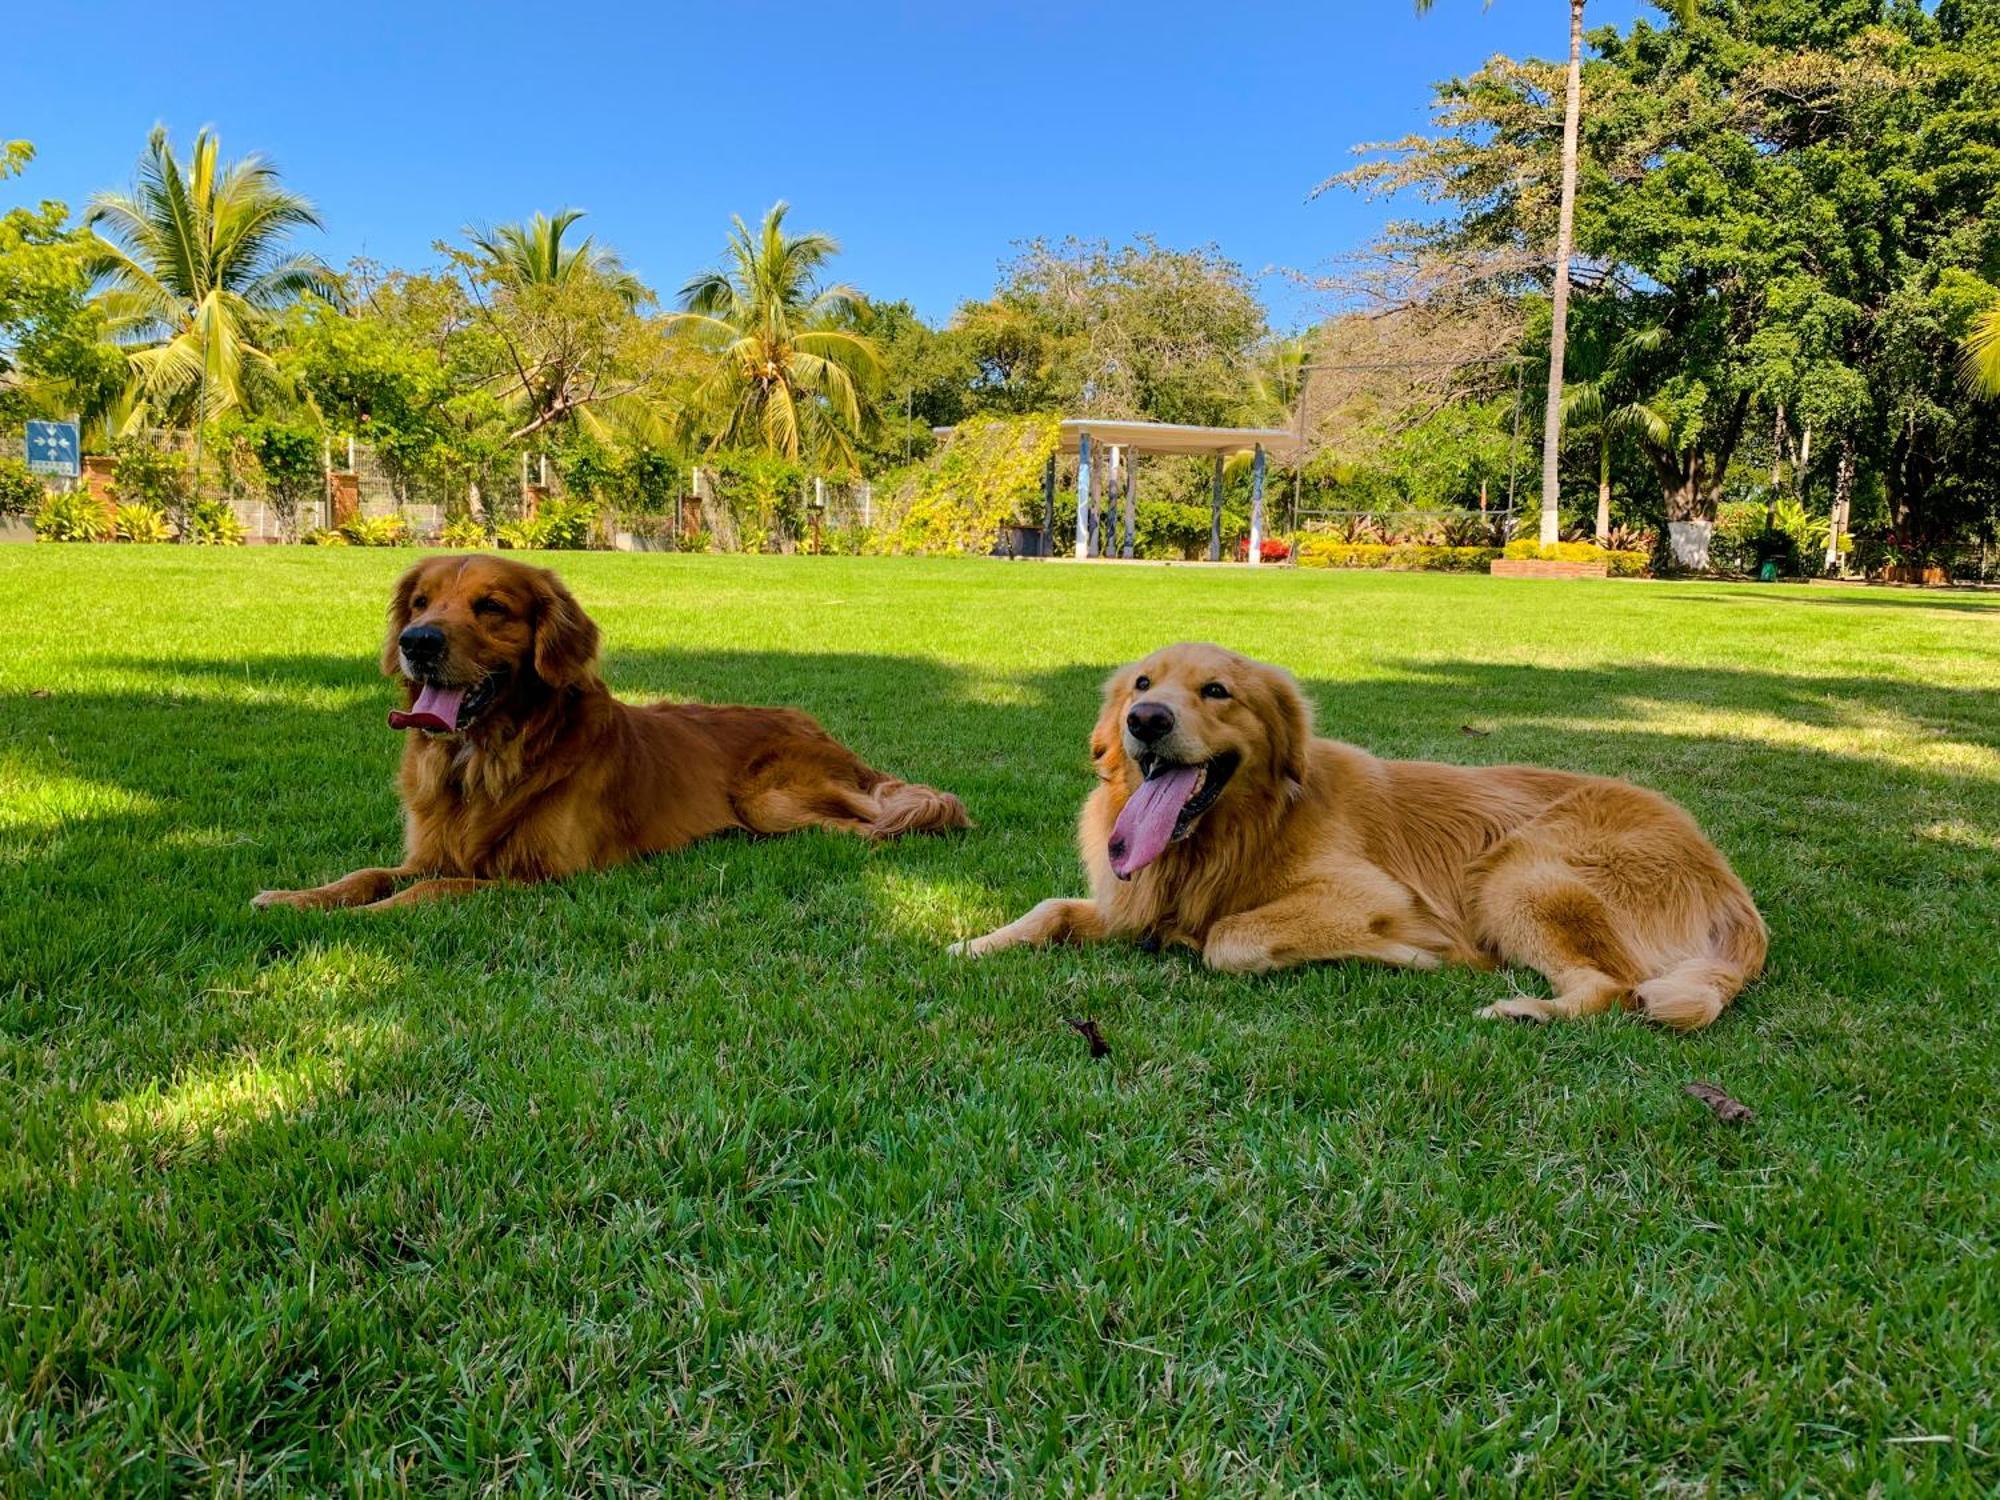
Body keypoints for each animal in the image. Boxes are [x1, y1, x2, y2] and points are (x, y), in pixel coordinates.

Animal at [254, 548, 972, 904]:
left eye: (491, 607)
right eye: (420, 602)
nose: (417, 642)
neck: (483, 760)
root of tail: (815, 724)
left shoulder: (547, 876)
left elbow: (430, 893)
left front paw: (371, 921)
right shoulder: (428, 852)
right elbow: (368, 876)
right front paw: (295, 898)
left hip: (771, 796)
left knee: (883, 821)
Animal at [956, 648, 1768, 1032]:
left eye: (1218, 691)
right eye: (1141, 684)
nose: (1146, 721)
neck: (1230, 836)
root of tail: (1729, 884)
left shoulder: (1370, 893)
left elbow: (1230, 938)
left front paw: (1406, 952)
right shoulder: (1129, 902)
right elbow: (1053, 910)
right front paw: (975, 943)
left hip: (1518, 872)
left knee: (1613, 987)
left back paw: (1526, 1010)